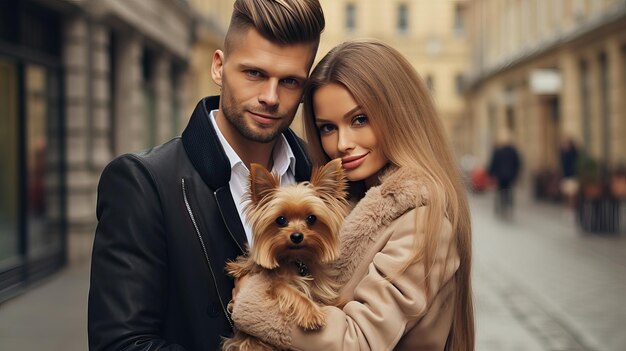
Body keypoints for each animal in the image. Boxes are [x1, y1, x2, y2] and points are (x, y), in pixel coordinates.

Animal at [221, 160, 348, 351]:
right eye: (281, 220)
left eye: (311, 218)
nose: (296, 236)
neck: (296, 259)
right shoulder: (273, 283)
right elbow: (291, 291)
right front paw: (312, 314)